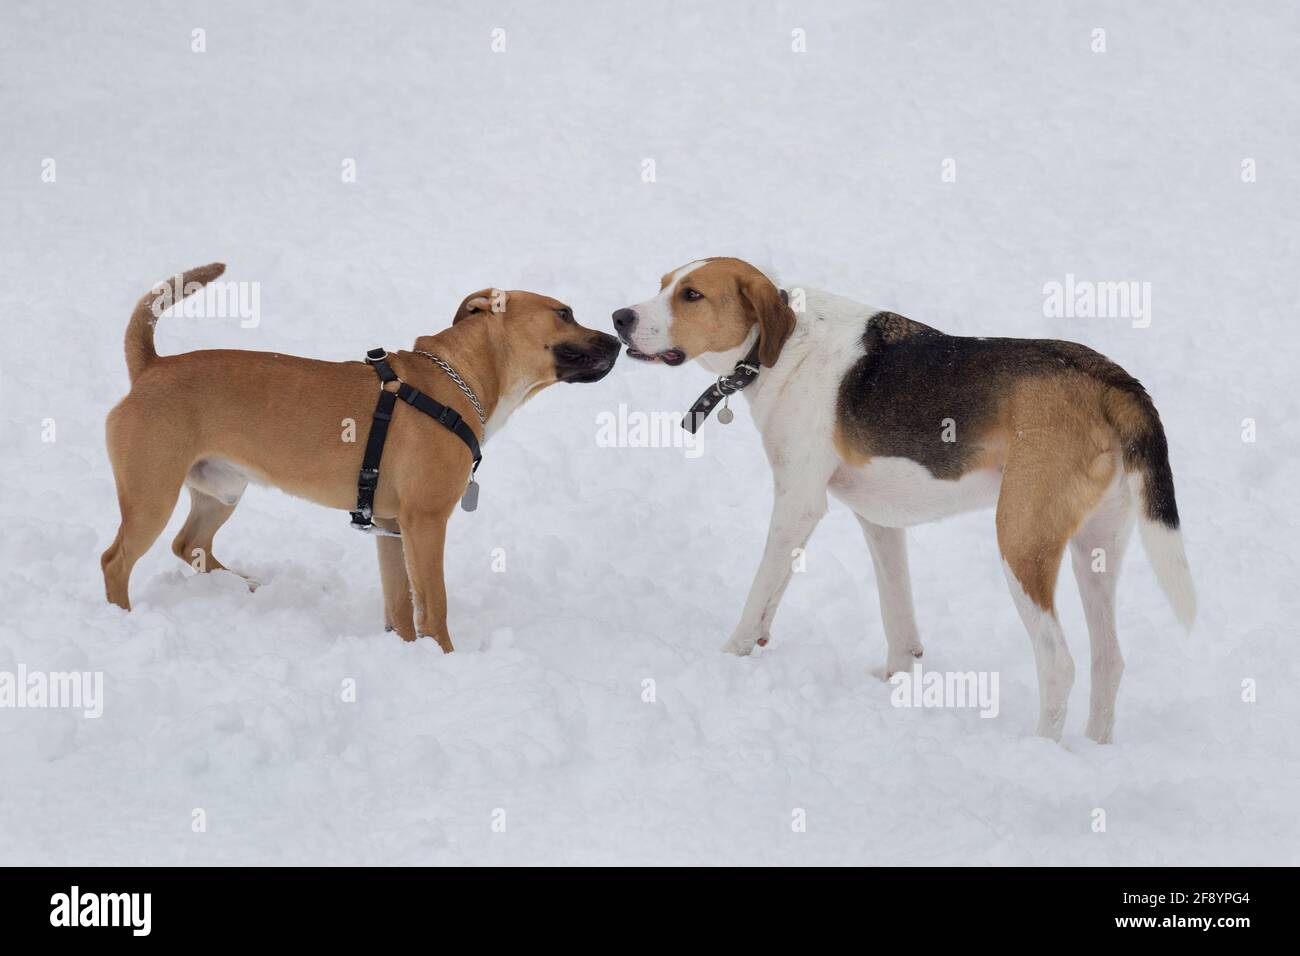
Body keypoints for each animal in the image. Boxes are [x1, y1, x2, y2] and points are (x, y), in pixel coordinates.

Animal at [101, 264, 618, 650]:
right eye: (564, 312)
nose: (617, 337)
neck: (458, 380)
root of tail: (151, 368)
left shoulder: (391, 528)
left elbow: (401, 606)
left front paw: (405, 654)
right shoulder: (425, 523)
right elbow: (434, 606)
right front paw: (444, 658)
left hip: (221, 490)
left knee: (190, 545)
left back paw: (249, 586)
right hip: (152, 496)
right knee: (116, 561)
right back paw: (121, 619)